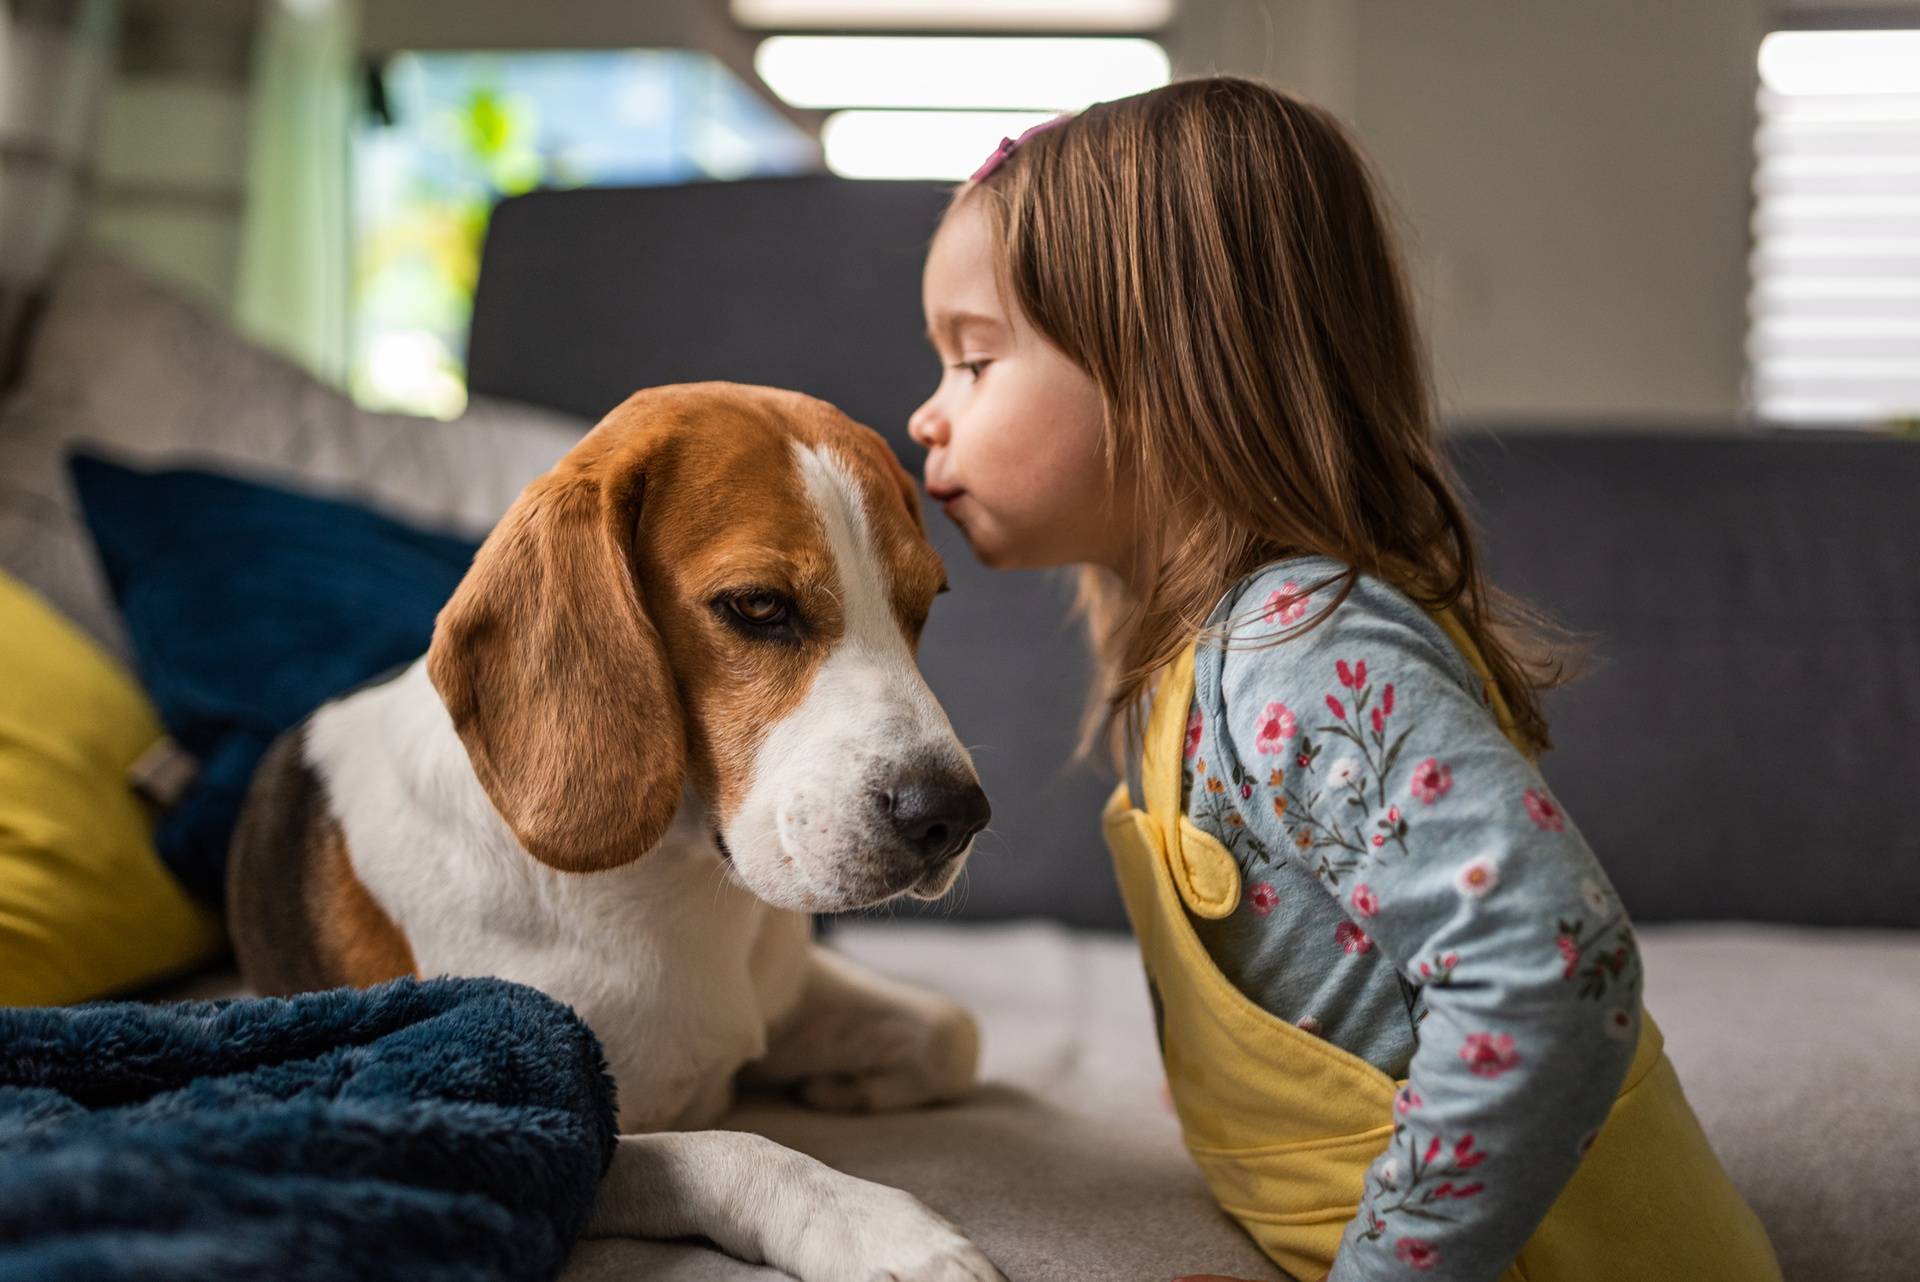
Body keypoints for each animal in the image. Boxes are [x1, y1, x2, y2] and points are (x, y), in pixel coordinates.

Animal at [226, 379, 1006, 1282]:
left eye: (920, 608)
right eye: (758, 606)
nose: (952, 816)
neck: (677, 884)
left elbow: (954, 1031)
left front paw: (856, 1086)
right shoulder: (520, 1128)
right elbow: (736, 1151)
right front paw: (881, 1229)